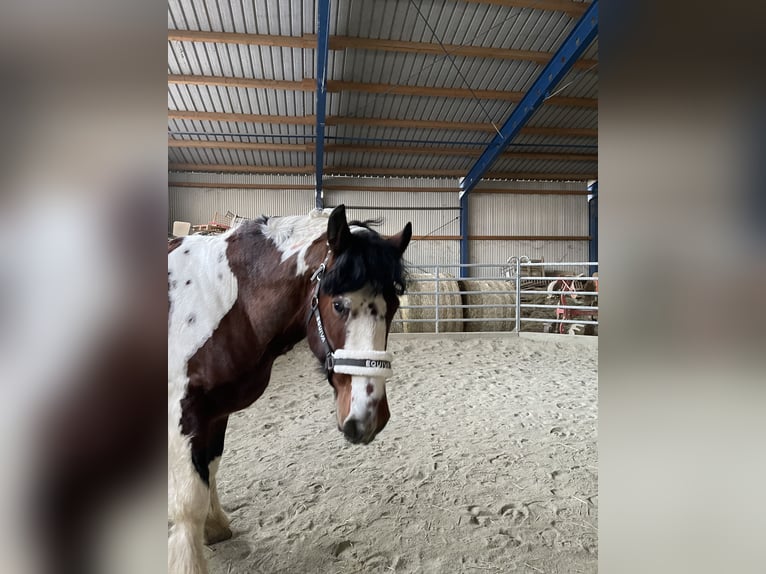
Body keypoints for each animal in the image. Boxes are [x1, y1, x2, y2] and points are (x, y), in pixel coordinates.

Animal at [169, 205, 414, 572]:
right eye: (338, 305)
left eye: (394, 305)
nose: (368, 417)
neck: (224, 300)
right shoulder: (182, 414)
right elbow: (187, 503)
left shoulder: (216, 411)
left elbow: (210, 467)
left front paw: (215, 527)